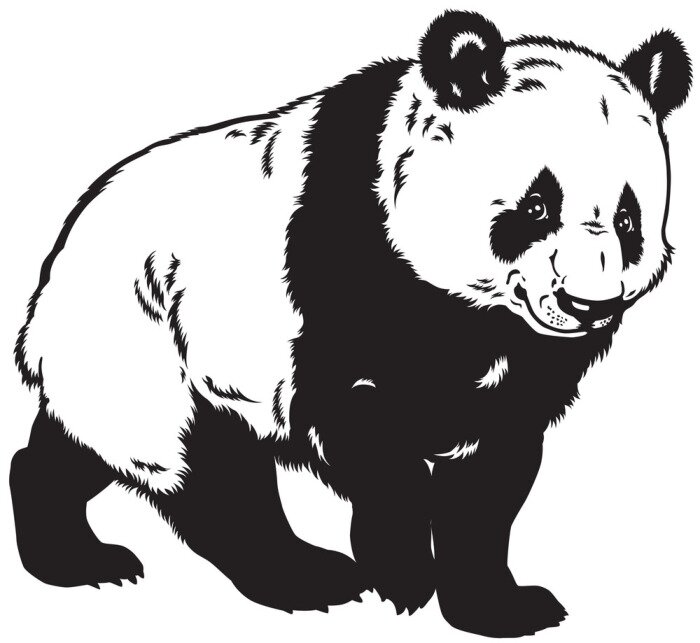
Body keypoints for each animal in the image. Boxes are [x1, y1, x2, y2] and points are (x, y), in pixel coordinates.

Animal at [10, 10, 691, 638]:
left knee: (88, 449)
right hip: (149, 325)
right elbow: (359, 428)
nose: (588, 305)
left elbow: (490, 481)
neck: (472, 314)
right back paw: (306, 577)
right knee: (197, 465)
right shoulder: (344, 274)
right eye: (538, 206)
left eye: (628, 219)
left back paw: (77, 553)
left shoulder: (520, 365)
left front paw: (498, 606)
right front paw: (403, 573)